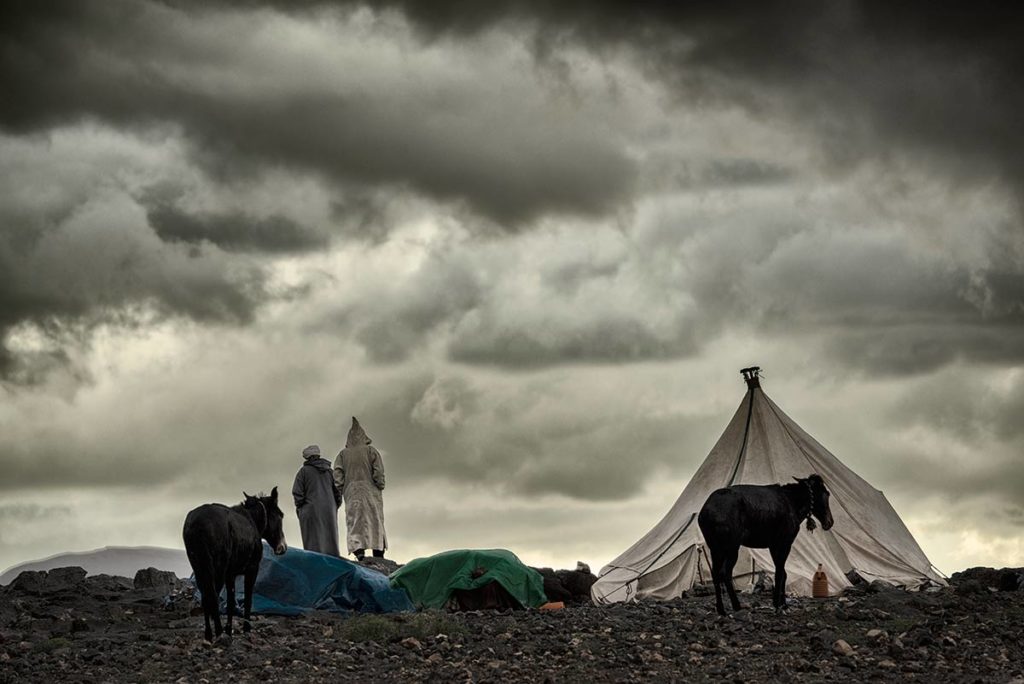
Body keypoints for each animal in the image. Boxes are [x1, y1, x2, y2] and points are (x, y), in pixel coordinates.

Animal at [182, 485, 288, 643]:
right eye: (280, 515)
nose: (282, 547)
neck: (253, 520)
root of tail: (196, 525)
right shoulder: (252, 569)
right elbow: (248, 599)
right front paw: (246, 629)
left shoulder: (230, 574)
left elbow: (231, 602)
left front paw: (229, 630)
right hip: (216, 568)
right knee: (212, 597)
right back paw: (219, 633)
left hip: (200, 567)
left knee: (205, 597)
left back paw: (209, 635)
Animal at [696, 475, 831, 614]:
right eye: (827, 493)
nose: (829, 522)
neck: (794, 504)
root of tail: (705, 513)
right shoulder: (785, 542)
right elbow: (780, 573)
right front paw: (778, 604)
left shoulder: (774, 545)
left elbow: (782, 572)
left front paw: (781, 603)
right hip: (731, 547)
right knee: (725, 573)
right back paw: (736, 605)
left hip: (716, 548)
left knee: (715, 574)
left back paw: (721, 609)